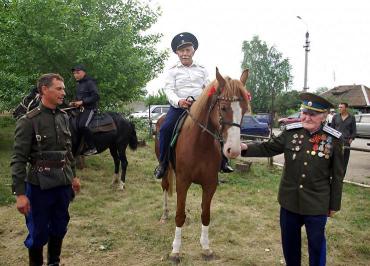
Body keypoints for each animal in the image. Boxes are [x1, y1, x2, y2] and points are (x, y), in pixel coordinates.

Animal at [153, 67, 251, 260]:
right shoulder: (183, 182)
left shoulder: (210, 184)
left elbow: (206, 215)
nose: (234, 150)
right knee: (165, 186)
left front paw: (206, 247)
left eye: (244, 110)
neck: (200, 143)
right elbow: (179, 215)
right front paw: (176, 250)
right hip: (166, 169)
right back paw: (164, 214)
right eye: (223, 107)